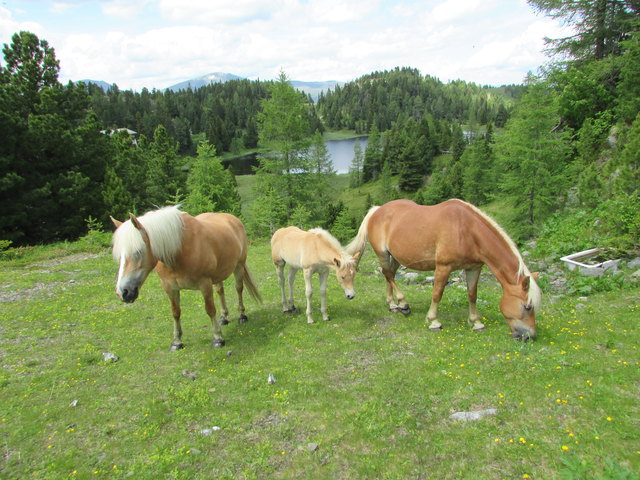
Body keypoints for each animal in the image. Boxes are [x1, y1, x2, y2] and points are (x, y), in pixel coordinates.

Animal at [111, 206, 261, 350]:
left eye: (138, 252)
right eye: (119, 255)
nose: (123, 292)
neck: (179, 250)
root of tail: (233, 219)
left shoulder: (205, 284)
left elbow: (210, 309)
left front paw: (218, 339)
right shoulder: (170, 287)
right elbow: (175, 312)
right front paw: (177, 342)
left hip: (239, 266)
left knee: (239, 289)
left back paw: (242, 316)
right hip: (218, 274)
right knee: (220, 291)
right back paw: (223, 318)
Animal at [347, 199, 541, 340]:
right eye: (527, 306)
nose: (529, 336)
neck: (467, 230)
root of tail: (377, 210)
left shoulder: (474, 268)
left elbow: (472, 295)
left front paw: (476, 322)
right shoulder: (443, 267)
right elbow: (437, 293)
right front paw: (433, 321)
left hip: (395, 256)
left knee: (390, 275)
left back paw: (392, 304)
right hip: (382, 253)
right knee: (388, 274)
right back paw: (402, 303)